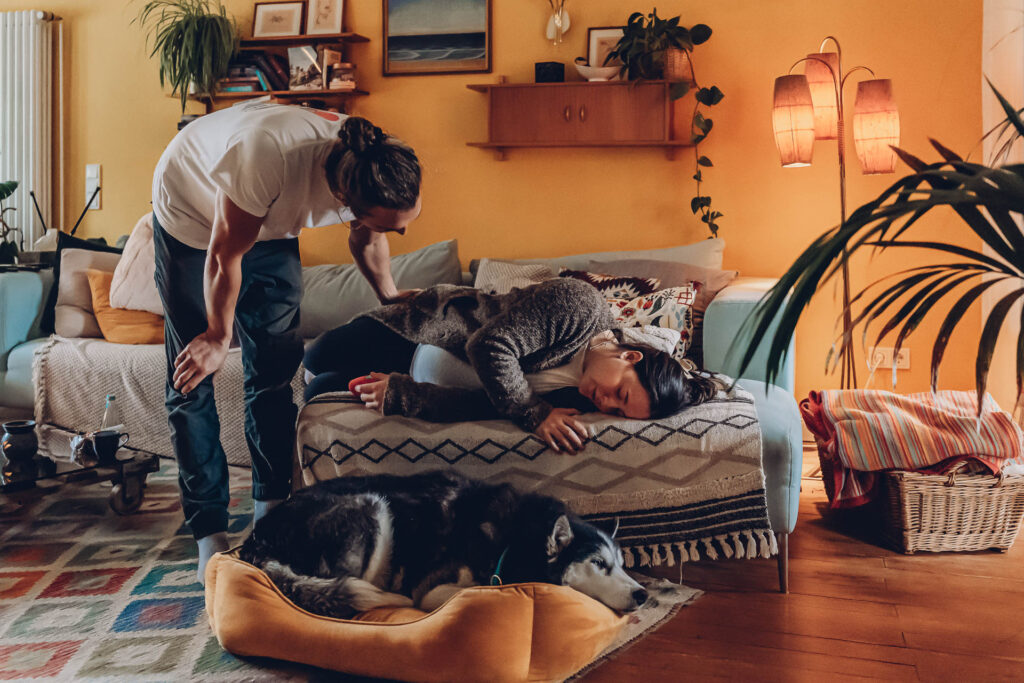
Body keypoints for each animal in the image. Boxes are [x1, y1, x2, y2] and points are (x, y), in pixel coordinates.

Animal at [237, 473, 647, 618]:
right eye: (598, 563)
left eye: (622, 563)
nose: (643, 594)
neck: (514, 538)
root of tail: (255, 540)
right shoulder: (431, 589)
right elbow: (458, 592)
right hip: (373, 508)